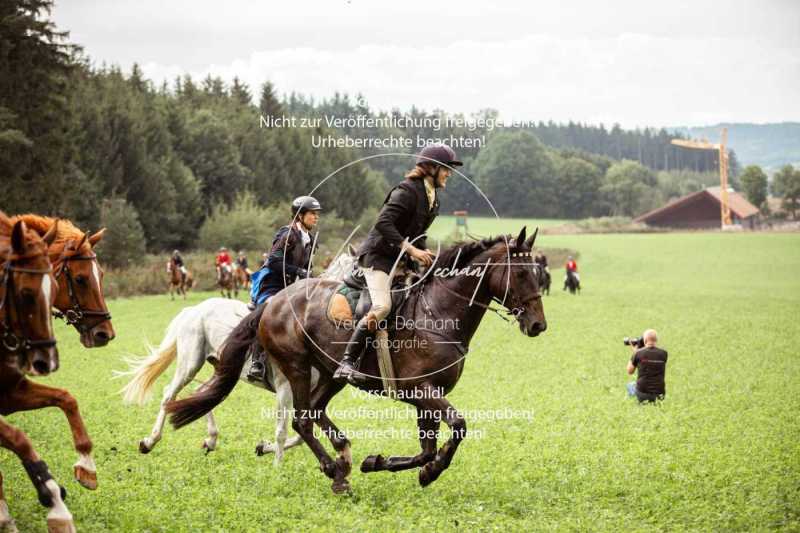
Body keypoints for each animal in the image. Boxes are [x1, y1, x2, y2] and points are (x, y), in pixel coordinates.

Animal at [119, 247, 356, 464]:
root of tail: (194, 309)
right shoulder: (285, 388)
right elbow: (283, 431)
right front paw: (277, 466)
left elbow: (299, 432)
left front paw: (264, 448)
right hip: (191, 363)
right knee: (170, 394)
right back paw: (149, 441)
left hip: (219, 366)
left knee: (201, 393)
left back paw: (210, 440)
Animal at [166, 227, 548, 492]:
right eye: (522, 273)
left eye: (540, 272)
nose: (538, 325)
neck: (438, 312)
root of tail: (273, 303)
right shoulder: (420, 390)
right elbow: (458, 426)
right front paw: (429, 472)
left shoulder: (428, 395)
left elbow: (427, 448)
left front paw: (382, 463)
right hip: (297, 368)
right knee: (302, 420)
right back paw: (335, 472)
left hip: (329, 374)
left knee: (314, 412)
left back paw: (343, 457)